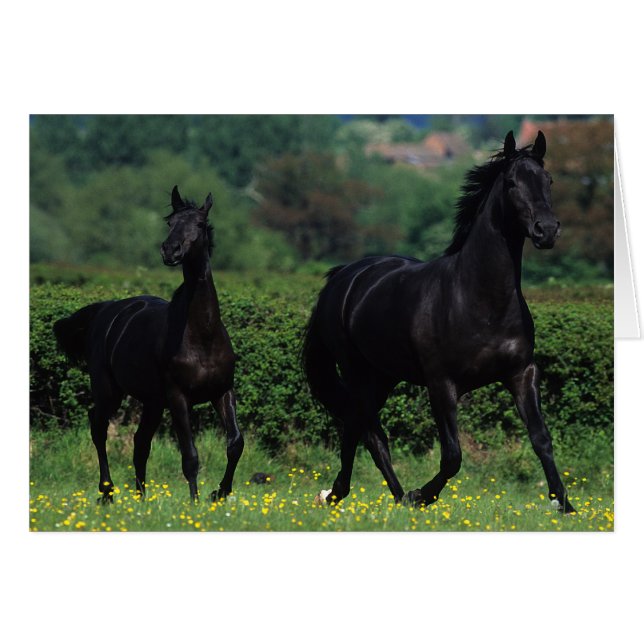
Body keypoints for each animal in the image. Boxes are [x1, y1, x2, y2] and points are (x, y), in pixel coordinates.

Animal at [53, 186, 244, 503]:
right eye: (170, 222)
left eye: (200, 224)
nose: (170, 250)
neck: (202, 335)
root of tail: (106, 310)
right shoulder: (178, 397)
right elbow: (190, 455)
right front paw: (195, 503)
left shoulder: (222, 391)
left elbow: (235, 444)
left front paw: (219, 492)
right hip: (109, 391)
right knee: (99, 428)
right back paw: (107, 493)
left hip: (153, 402)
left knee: (140, 442)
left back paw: (141, 499)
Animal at [302, 130, 575, 513]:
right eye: (511, 183)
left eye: (548, 180)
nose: (546, 230)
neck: (480, 300)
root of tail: (343, 276)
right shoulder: (441, 384)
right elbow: (452, 457)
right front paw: (423, 495)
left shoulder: (521, 374)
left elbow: (541, 439)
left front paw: (565, 505)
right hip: (356, 371)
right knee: (363, 429)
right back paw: (351, 494)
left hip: (383, 376)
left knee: (364, 430)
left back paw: (385, 496)